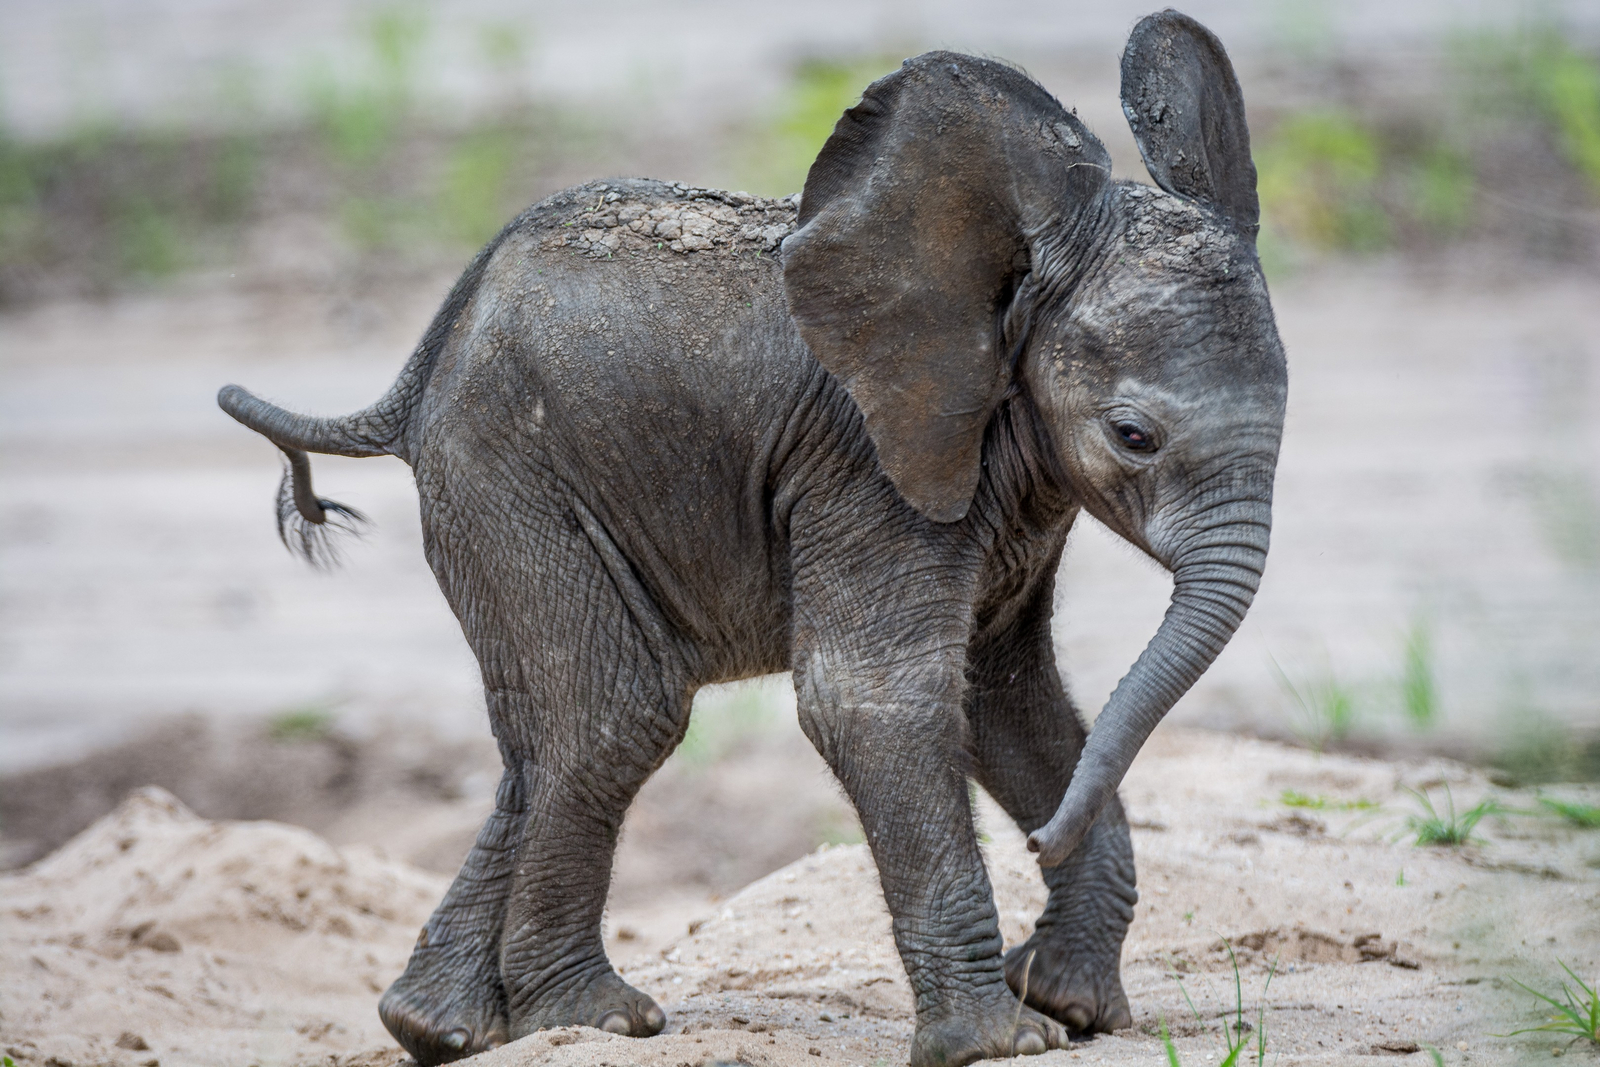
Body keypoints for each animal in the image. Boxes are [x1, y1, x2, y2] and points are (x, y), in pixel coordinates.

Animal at [218, 11, 1285, 1067]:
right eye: (1133, 435)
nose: (1037, 845)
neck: (1006, 276)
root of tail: (425, 358)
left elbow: (1005, 701)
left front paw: (1069, 1004)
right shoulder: (867, 463)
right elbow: (874, 699)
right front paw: (1002, 1039)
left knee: (548, 739)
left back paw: (439, 1026)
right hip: (507, 475)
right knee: (617, 712)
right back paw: (592, 1018)